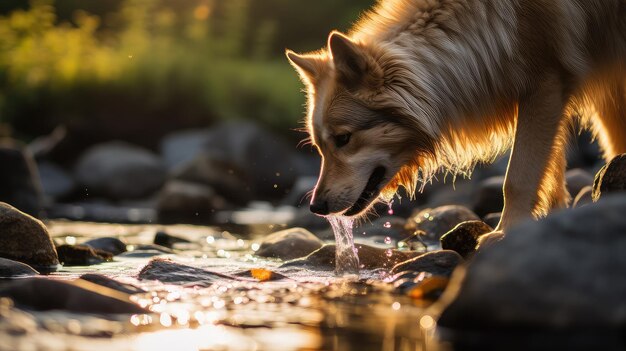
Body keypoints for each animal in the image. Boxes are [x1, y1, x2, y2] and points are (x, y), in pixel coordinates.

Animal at [286, 1, 624, 235]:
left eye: (343, 139)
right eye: (319, 147)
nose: (316, 207)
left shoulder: (547, 85)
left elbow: (518, 178)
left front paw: (505, 233)